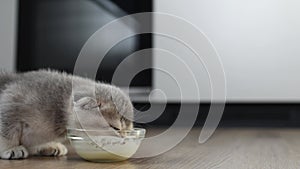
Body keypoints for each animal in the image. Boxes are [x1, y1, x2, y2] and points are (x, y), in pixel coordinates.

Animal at [0, 70, 134, 160]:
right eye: (115, 127)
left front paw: (46, 145)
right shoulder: (11, 102)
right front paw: (10, 148)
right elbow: (6, 131)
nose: (124, 139)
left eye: (128, 131)